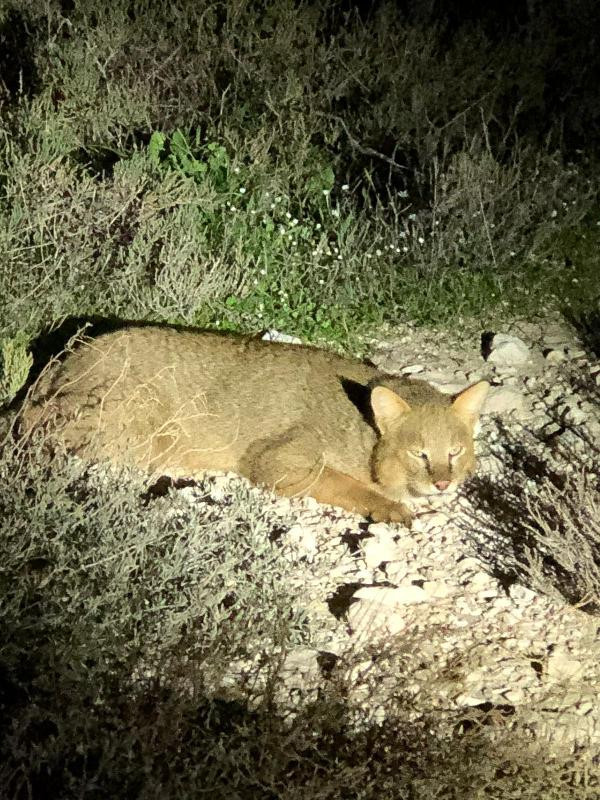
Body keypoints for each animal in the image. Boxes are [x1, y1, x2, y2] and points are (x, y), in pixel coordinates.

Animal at [19, 324, 488, 524]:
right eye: (419, 453)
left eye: (455, 451)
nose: (443, 482)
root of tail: (62, 362)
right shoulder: (278, 461)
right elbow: (347, 485)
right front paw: (389, 507)